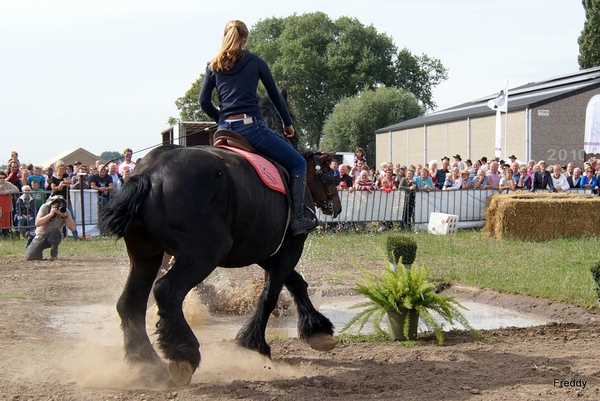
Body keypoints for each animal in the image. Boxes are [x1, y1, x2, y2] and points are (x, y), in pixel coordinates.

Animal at [99, 104, 342, 388]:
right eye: (331, 175)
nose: (337, 207)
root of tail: (150, 173)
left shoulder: (264, 251)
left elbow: (295, 283)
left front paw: (317, 330)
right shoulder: (289, 248)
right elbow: (271, 294)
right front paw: (255, 343)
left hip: (146, 256)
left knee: (130, 303)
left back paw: (145, 361)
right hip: (203, 254)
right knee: (166, 291)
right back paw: (184, 354)